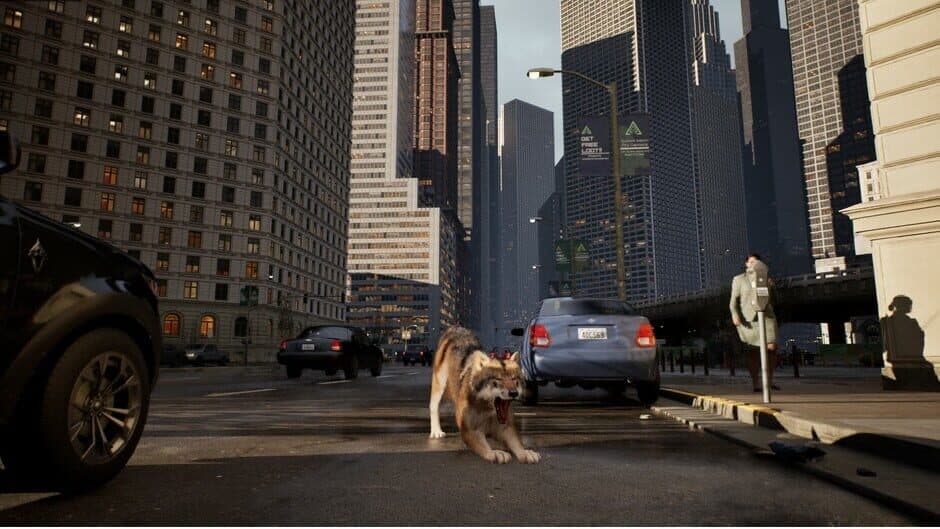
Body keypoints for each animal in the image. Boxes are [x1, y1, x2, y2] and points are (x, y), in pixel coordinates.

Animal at [428, 326, 541, 464]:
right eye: (498, 379)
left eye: (515, 379)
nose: (514, 393)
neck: (487, 409)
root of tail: (456, 328)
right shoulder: (470, 430)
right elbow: (484, 446)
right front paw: (495, 453)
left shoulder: (506, 427)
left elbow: (517, 444)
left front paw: (525, 453)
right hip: (440, 386)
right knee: (433, 406)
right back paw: (436, 431)